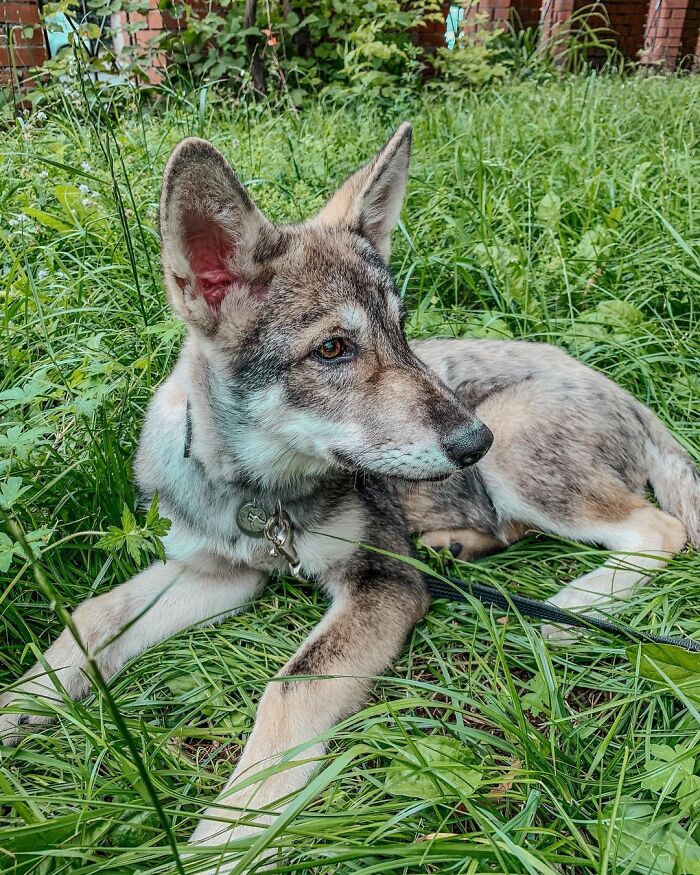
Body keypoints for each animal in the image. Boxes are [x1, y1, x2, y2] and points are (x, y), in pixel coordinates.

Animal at [1, 123, 698, 873]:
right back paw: (459, 545)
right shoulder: (215, 571)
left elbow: (288, 687)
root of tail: (627, 394)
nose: (470, 442)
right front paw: (22, 702)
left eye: (401, 327)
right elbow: (95, 615)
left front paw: (230, 835)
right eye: (333, 348)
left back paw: (575, 607)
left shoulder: (381, 582)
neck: (258, 497)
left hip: (516, 446)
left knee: (659, 530)